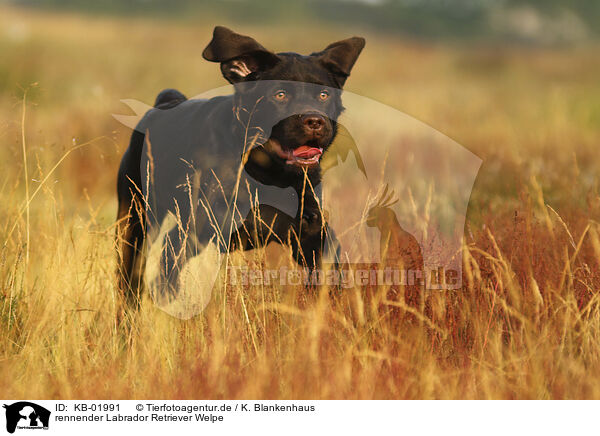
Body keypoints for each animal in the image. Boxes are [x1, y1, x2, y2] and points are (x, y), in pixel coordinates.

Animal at [115, 25, 364, 304]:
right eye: (280, 94)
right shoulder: (191, 230)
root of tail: (162, 104)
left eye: (323, 94)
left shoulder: (311, 230)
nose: (314, 121)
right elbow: (167, 277)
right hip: (135, 215)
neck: (269, 177)